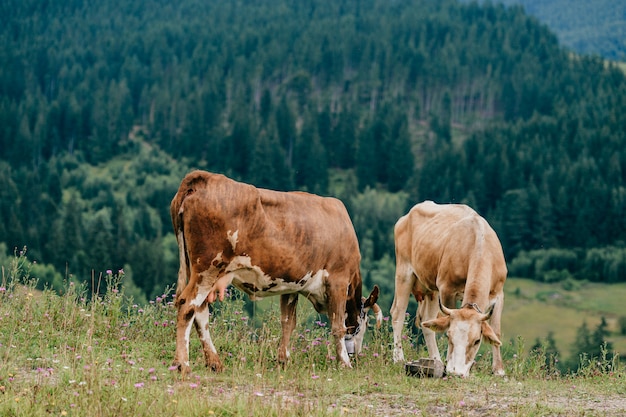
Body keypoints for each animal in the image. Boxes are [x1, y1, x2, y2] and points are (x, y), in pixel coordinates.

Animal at [168, 170, 380, 374]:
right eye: (365, 324)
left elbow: (288, 322)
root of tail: (204, 177)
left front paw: (283, 360)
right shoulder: (338, 279)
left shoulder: (291, 286)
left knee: (200, 311)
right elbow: (338, 326)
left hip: (196, 268)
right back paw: (183, 364)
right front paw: (344, 363)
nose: (356, 356)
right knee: (188, 305)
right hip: (208, 266)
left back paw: (214, 363)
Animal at [390, 200, 508, 376]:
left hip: (431, 288)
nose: (457, 372)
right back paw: (398, 358)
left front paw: (498, 370)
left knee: (426, 321)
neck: (478, 242)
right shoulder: (447, 289)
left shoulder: (498, 294)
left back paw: (436, 360)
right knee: (398, 314)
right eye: (449, 337)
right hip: (404, 272)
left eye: (477, 341)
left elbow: (496, 331)